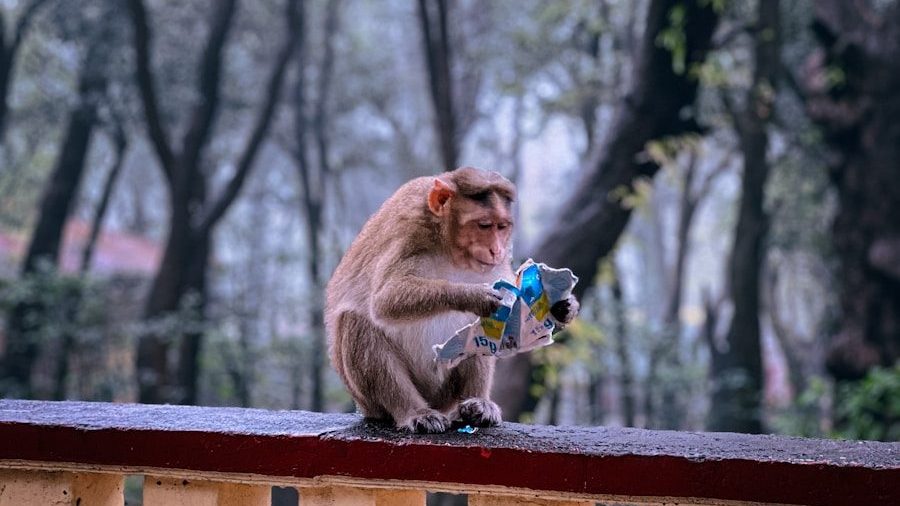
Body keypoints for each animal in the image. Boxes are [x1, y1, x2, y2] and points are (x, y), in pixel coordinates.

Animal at [325, 167, 579, 433]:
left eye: (502, 227)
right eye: (484, 225)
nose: (497, 250)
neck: (449, 246)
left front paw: (562, 308)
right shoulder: (409, 234)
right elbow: (385, 299)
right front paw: (475, 296)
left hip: (447, 391)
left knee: (475, 333)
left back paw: (476, 404)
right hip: (371, 400)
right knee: (355, 320)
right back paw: (414, 411)